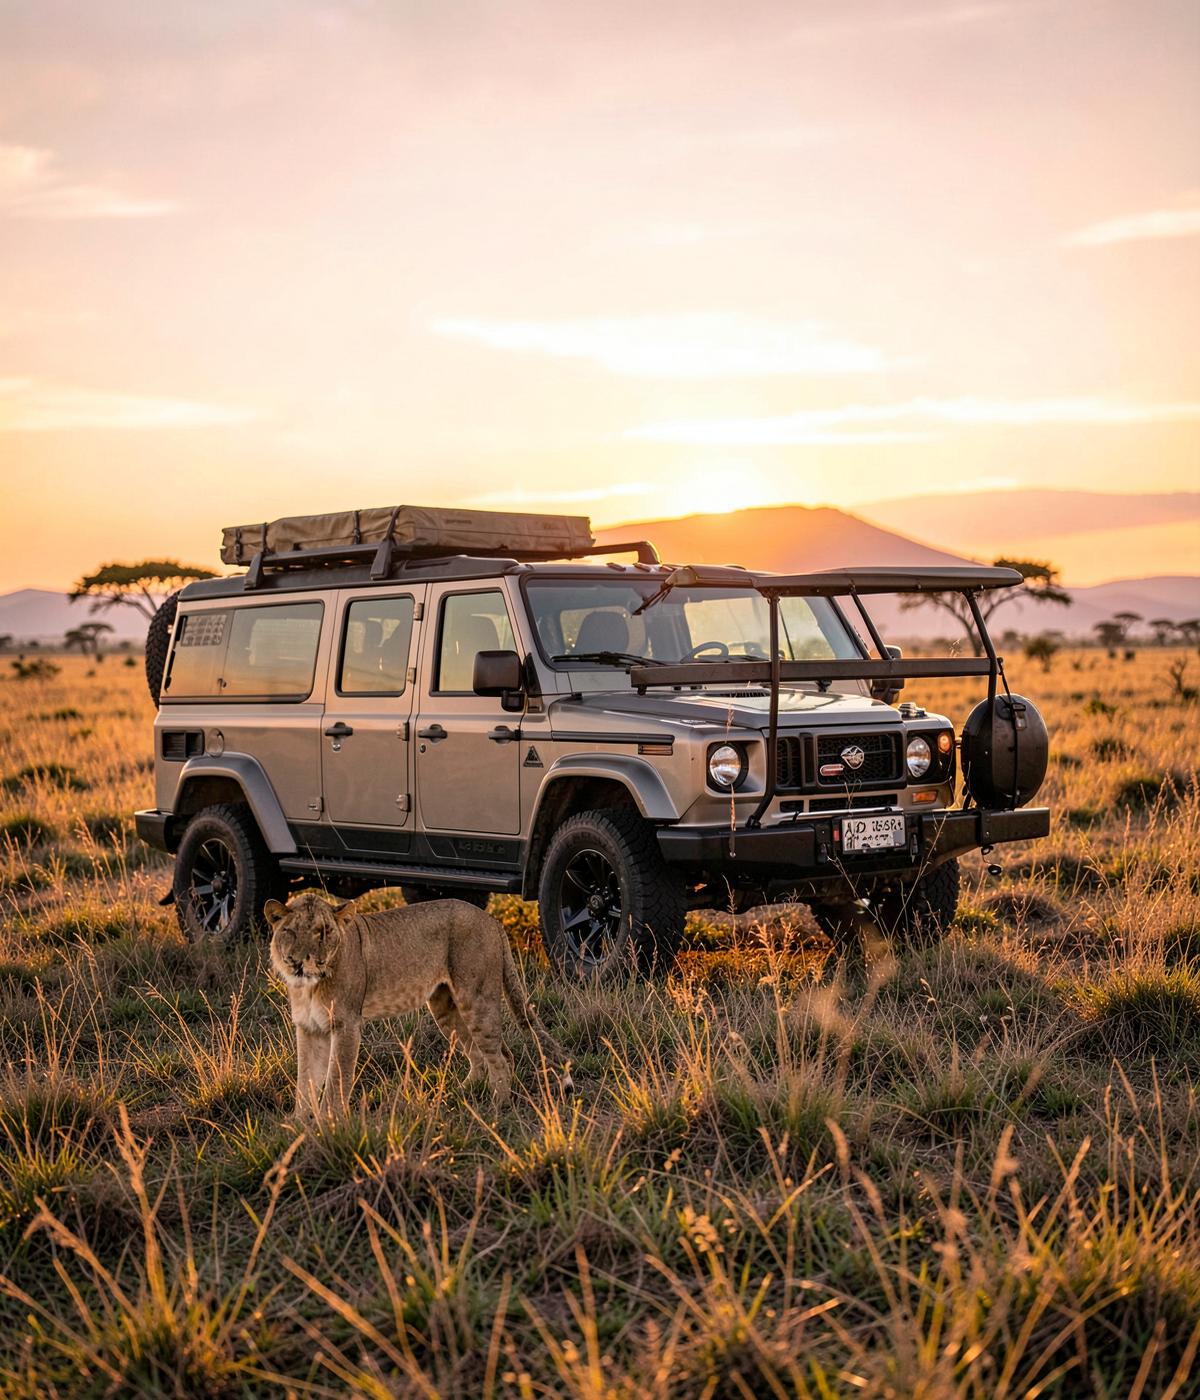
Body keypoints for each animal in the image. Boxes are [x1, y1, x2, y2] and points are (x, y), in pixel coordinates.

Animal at [265, 891, 568, 1115]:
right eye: (291, 932)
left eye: (324, 932)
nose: (304, 961)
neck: (308, 987)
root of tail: (492, 919)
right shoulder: (309, 1028)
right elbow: (305, 1080)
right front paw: (299, 1124)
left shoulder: (346, 1024)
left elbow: (337, 1080)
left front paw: (328, 1122)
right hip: (445, 1006)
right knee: (482, 1055)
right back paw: (458, 1094)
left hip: (477, 998)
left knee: (501, 1056)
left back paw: (496, 1108)